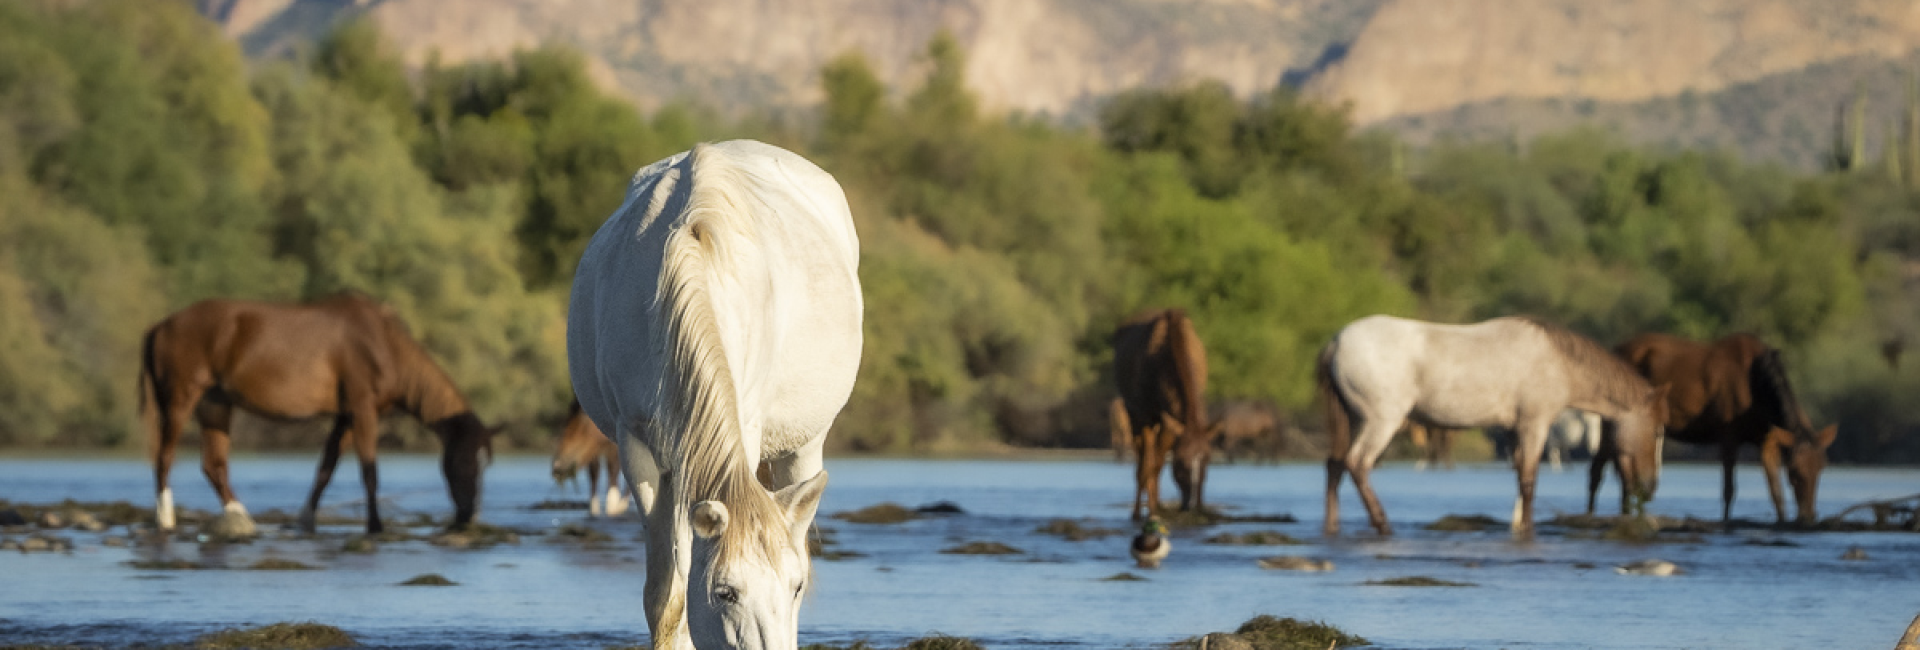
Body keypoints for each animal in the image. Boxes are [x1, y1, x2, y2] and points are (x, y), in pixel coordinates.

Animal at [138, 293, 491, 533]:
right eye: (464, 462)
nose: (468, 516)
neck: (385, 345)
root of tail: (159, 326)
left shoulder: (346, 416)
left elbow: (327, 467)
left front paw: (306, 519)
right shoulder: (363, 410)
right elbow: (369, 471)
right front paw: (375, 525)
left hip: (215, 405)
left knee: (213, 464)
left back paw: (239, 515)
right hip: (181, 400)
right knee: (164, 457)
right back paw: (165, 518)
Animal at [1113, 308, 1213, 521]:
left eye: (1207, 459)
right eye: (1181, 462)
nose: (1194, 506)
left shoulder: (1169, 421)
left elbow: (1157, 465)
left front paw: (1156, 508)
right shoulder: (1146, 415)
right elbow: (1147, 466)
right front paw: (1147, 512)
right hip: (1132, 415)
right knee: (1140, 461)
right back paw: (1139, 509)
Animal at [1320, 316, 1666, 540]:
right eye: (1657, 431)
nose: (1650, 487)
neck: (1559, 362)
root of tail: (1336, 342)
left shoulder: (1514, 430)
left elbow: (1519, 475)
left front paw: (1517, 525)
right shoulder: (1534, 424)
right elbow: (1529, 480)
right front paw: (1527, 529)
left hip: (1351, 420)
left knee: (1335, 465)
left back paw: (1332, 528)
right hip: (1381, 421)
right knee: (1357, 464)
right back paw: (1383, 525)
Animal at [1589, 333, 1843, 525]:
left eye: (1822, 467)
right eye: (1794, 471)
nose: (1808, 516)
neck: (1759, 390)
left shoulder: (1767, 440)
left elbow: (1775, 492)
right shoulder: (1728, 435)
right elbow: (1729, 489)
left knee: (1624, 475)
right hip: (1610, 420)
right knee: (1598, 470)